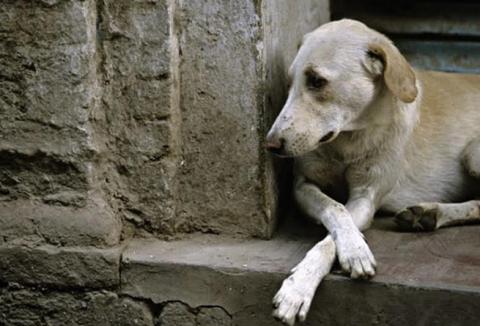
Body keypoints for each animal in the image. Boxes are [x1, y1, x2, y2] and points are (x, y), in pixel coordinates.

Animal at [266, 19, 480, 324]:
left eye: (317, 81)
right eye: (289, 83)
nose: (270, 144)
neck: (347, 141)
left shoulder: (366, 197)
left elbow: (330, 238)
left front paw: (301, 286)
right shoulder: (303, 185)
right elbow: (335, 209)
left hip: (473, 154)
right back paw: (427, 214)